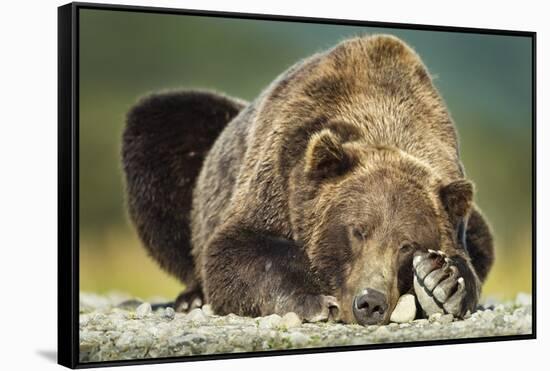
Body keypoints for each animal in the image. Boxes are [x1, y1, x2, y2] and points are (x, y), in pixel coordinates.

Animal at [124, 35, 496, 326]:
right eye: (357, 230)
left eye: (407, 245)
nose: (370, 302)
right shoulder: (280, 169)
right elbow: (235, 248)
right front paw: (313, 299)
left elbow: (466, 257)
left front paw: (443, 281)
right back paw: (192, 298)